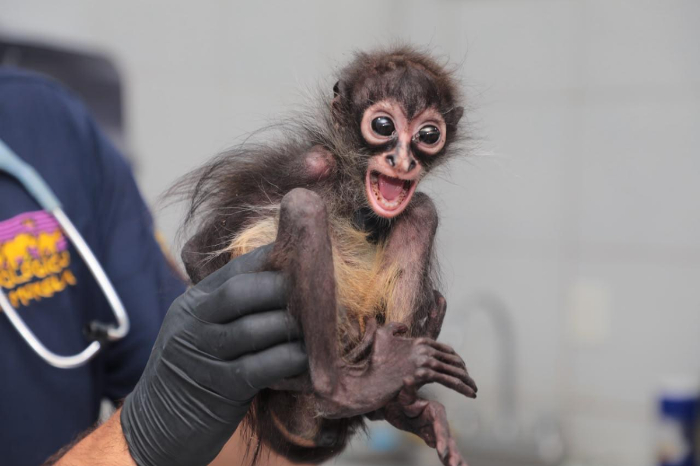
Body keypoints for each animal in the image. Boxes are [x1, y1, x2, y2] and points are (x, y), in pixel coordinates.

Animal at [175, 46, 477, 466]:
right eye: (382, 125)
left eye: (428, 135)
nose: (402, 161)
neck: (351, 186)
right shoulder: (311, 163)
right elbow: (196, 253)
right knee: (305, 208)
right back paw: (341, 391)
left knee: (421, 211)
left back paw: (397, 403)